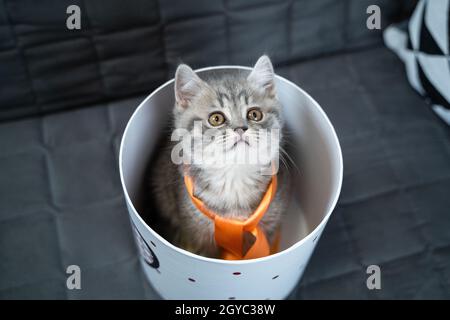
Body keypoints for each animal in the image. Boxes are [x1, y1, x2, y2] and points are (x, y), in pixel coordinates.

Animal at [151, 55, 292, 258]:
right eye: (216, 118)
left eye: (254, 114)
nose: (241, 128)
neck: (235, 179)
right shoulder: (195, 232)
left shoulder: (270, 224)